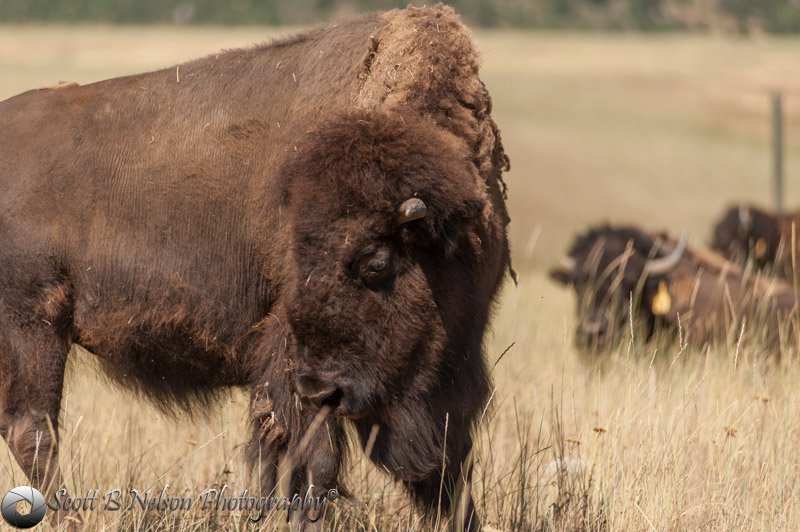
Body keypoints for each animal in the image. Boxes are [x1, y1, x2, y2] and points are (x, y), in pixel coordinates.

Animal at [0, 6, 512, 528]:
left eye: (376, 263)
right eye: (295, 253)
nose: (321, 389)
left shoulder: (453, 371)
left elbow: (447, 467)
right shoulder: (288, 360)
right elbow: (310, 459)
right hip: (34, 326)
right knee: (33, 430)